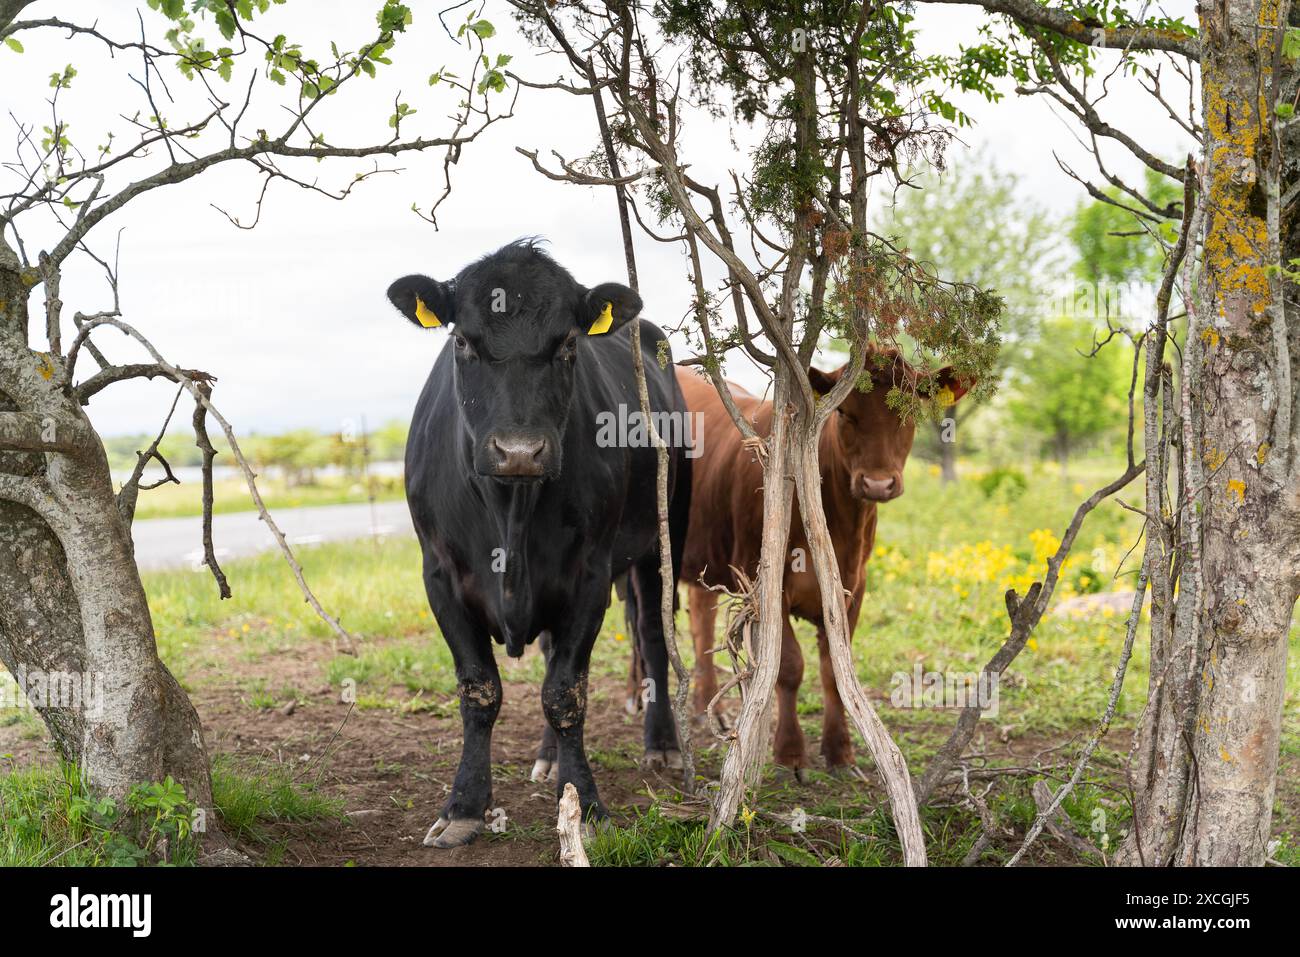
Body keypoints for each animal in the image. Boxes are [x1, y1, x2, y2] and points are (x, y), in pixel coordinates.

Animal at [384, 243, 691, 847]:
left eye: (568, 343)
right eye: (462, 341)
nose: (520, 451)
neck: (511, 510)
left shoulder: (589, 575)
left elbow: (565, 693)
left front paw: (586, 805)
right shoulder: (440, 575)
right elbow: (480, 690)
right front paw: (464, 807)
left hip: (663, 540)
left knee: (653, 638)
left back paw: (663, 744)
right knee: (552, 652)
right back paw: (549, 760)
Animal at [681, 356, 967, 774]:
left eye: (909, 409)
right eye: (844, 412)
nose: (877, 484)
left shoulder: (854, 586)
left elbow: (835, 668)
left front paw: (839, 749)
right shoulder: (765, 583)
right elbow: (788, 665)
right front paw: (789, 751)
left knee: (701, 620)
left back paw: (706, 708)